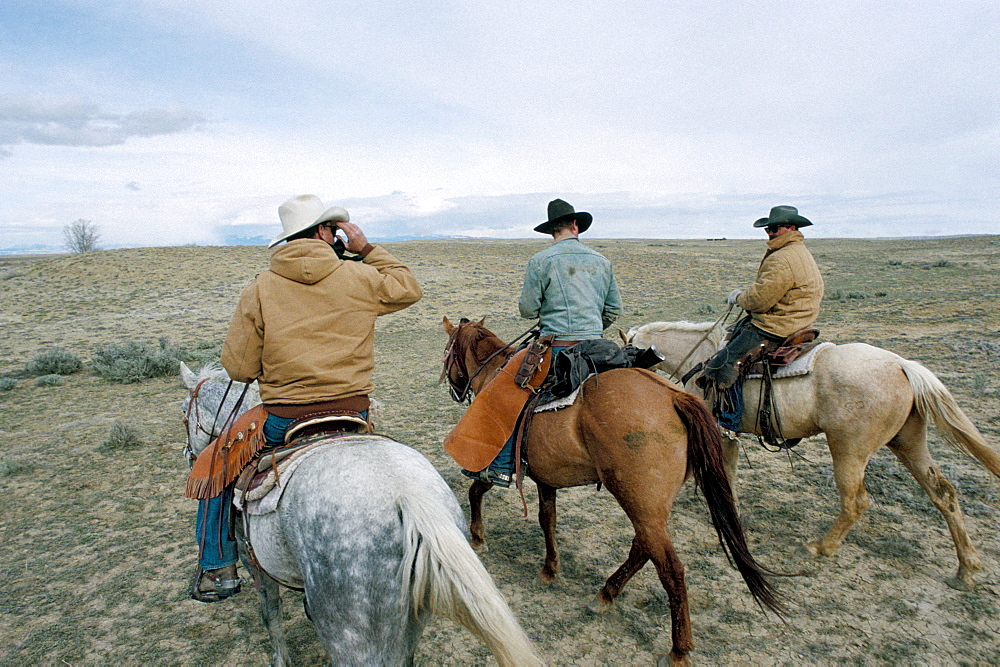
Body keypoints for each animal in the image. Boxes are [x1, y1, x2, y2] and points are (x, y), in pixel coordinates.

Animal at [180, 362, 540, 664]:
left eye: (184, 412)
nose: (187, 453)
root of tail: (409, 496)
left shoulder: (255, 563)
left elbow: (271, 615)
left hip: (353, 636)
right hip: (407, 622)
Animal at [444, 318, 780, 667]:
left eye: (447, 352)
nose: (454, 389)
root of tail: (674, 398)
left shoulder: (493, 462)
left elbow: (476, 490)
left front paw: (477, 537)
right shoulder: (546, 478)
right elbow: (547, 519)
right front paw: (550, 569)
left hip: (638, 501)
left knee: (670, 568)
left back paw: (678, 649)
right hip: (649, 506)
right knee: (642, 547)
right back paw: (606, 594)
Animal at [624, 324, 1000, 588]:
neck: (697, 357)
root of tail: (902, 364)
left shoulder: (718, 429)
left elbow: (720, 470)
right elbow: (728, 471)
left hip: (848, 449)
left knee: (856, 501)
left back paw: (820, 547)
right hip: (908, 443)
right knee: (944, 494)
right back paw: (967, 569)